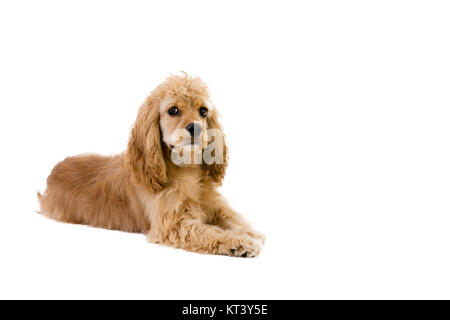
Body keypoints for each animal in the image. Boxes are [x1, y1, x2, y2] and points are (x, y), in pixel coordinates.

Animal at [38, 74, 266, 256]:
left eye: (203, 111)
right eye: (173, 110)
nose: (196, 128)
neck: (187, 170)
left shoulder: (216, 207)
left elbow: (235, 220)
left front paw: (250, 233)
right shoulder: (173, 225)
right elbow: (208, 231)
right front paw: (238, 241)